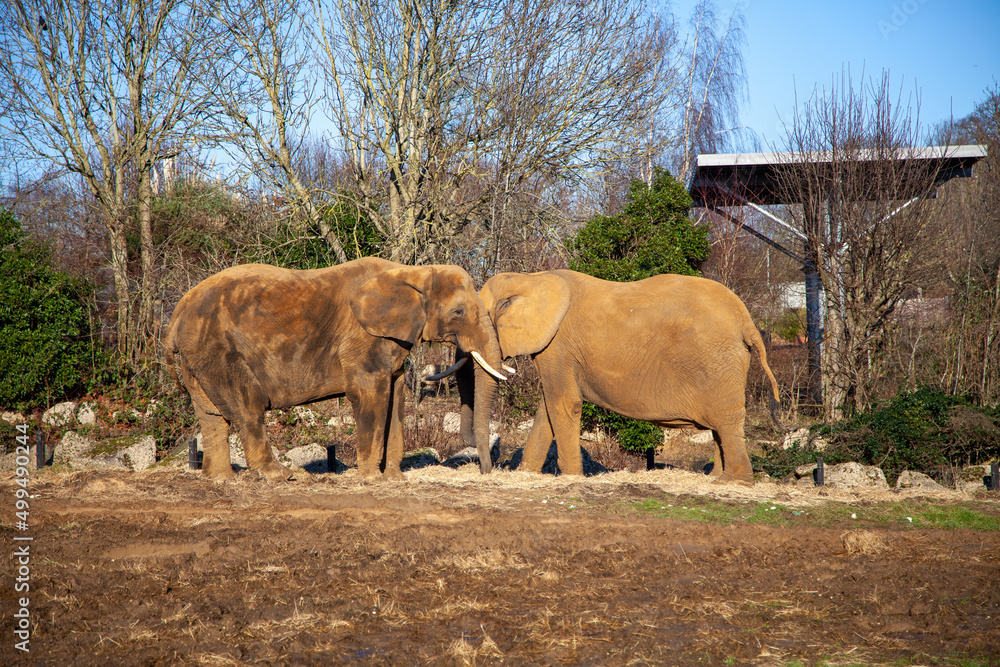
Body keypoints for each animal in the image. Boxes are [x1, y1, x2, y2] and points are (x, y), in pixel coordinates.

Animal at [164, 257, 507, 482]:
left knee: (211, 415)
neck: (412, 271)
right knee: (248, 406)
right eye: (458, 312)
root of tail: (178, 310)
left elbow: (396, 399)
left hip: (197, 357)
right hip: (217, 350)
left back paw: (220, 479)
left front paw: (394, 479)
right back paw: (281, 476)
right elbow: (370, 395)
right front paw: (371, 480)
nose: (485, 470)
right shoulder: (362, 339)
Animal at [456, 269, 780, 485]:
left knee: (726, 422)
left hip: (718, 362)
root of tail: (746, 318)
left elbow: (563, 403)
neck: (531, 277)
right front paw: (526, 475)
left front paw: (572, 477)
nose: (488, 469)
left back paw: (732, 483)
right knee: (719, 426)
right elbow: (547, 409)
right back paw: (714, 477)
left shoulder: (558, 344)